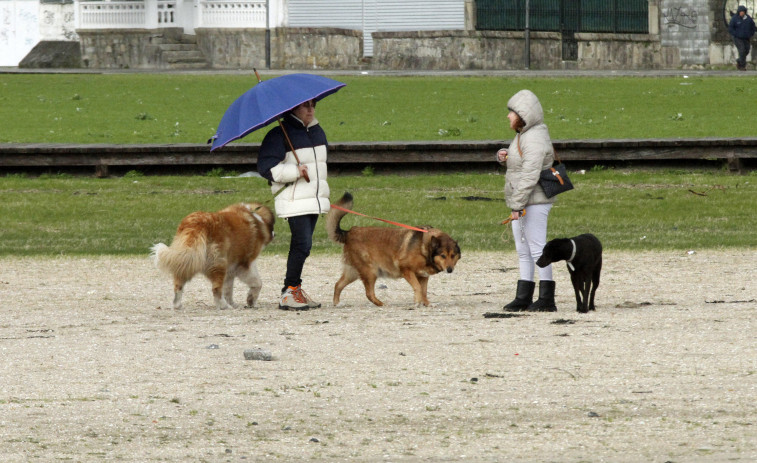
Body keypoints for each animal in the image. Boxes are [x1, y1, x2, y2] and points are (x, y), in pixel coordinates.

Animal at [326, 193, 460, 308]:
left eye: (453, 255)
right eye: (443, 255)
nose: (450, 270)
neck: (425, 247)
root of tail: (350, 232)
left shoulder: (423, 276)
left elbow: (424, 291)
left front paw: (426, 303)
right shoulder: (407, 270)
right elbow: (417, 288)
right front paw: (417, 302)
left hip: (353, 272)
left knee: (338, 284)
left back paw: (337, 303)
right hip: (370, 271)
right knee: (369, 294)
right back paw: (381, 304)